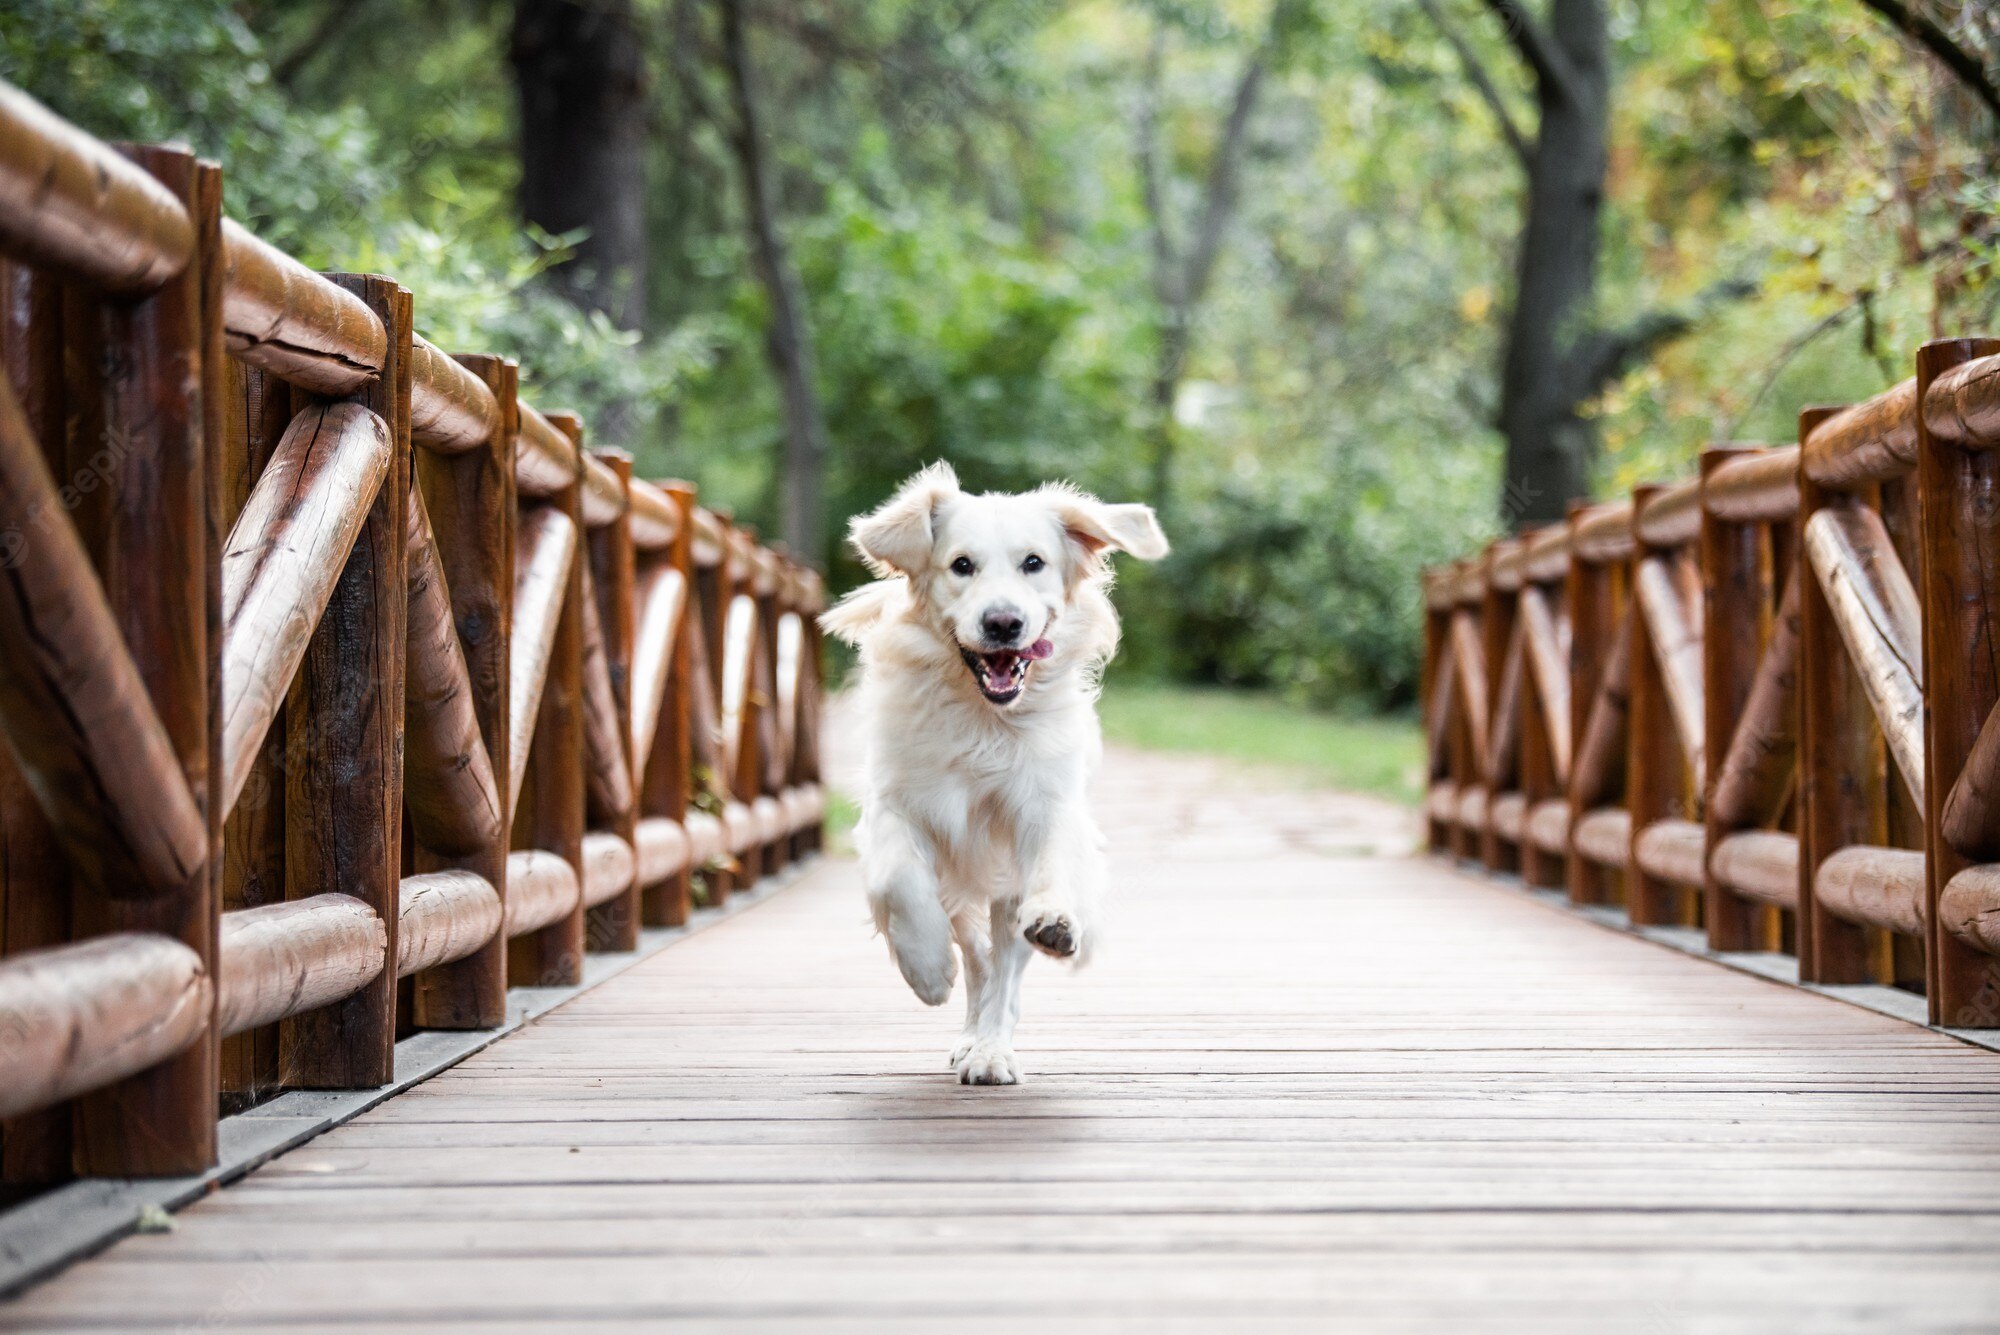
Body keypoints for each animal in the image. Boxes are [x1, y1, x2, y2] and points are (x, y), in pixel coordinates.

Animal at [824, 463, 1168, 1079]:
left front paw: (1055, 921)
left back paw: (989, 1049)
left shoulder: (1042, 806)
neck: (982, 720)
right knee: (978, 957)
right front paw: (926, 969)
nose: (1004, 623)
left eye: (1034, 562)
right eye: (962, 565)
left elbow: (1050, 869)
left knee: (1003, 968)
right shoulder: (894, 804)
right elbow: (897, 880)